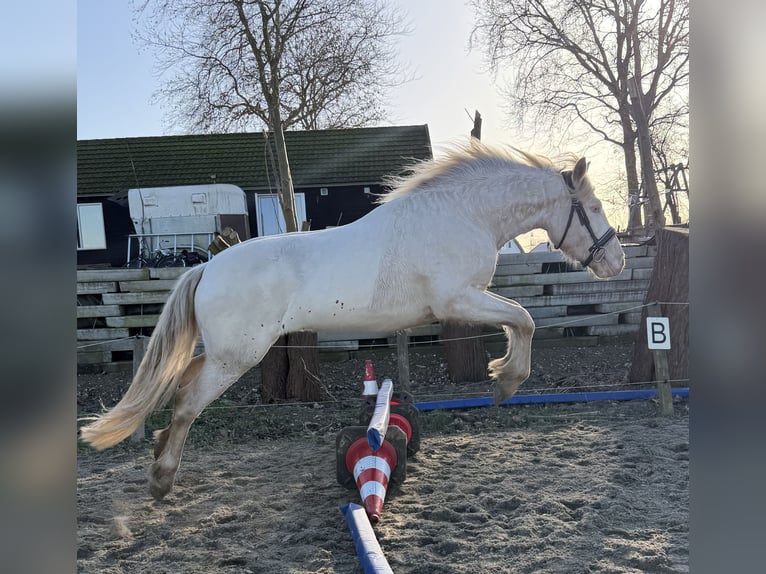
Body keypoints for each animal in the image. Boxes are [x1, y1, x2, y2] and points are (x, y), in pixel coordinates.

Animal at [80, 142, 625, 500]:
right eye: (595, 206)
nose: (616, 262)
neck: (461, 215)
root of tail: (206, 266)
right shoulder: (458, 302)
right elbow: (525, 318)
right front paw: (506, 382)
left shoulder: (465, 302)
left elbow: (517, 321)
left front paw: (499, 374)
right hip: (236, 357)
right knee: (188, 401)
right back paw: (161, 479)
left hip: (221, 355)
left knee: (177, 389)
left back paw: (157, 457)